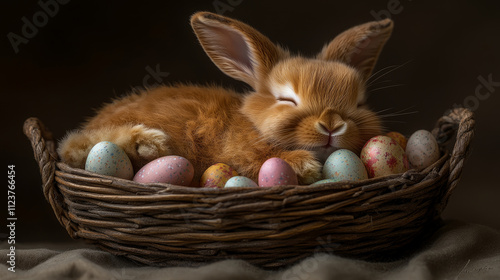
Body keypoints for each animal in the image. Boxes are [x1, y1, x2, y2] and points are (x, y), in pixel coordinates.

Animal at [58, 12, 392, 185]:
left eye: (359, 103)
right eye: (287, 100)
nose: (332, 124)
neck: (253, 124)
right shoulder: (239, 157)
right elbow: (258, 160)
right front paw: (304, 166)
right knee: (75, 147)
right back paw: (146, 143)